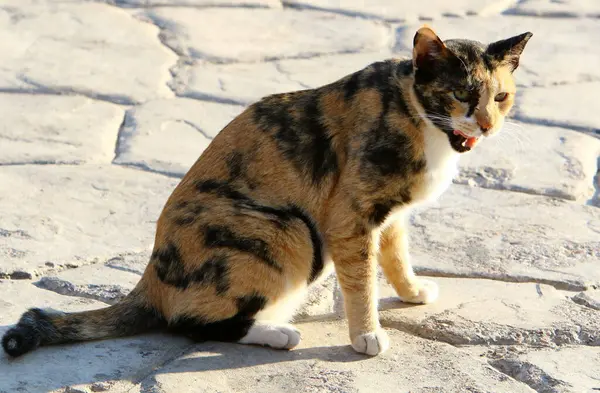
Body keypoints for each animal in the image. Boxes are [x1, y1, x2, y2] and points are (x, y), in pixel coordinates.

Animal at [2, 26, 532, 356]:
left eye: (502, 97)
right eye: (461, 95)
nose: (487, 125)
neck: (418, 116)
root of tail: (150, 276)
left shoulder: (391, 216)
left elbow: (397, 255)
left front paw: (413, 290)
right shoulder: (351, 217)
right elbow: (362, 281)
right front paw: (367, 336)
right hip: (287, 230)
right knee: (187, 323)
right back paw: (280, 334)